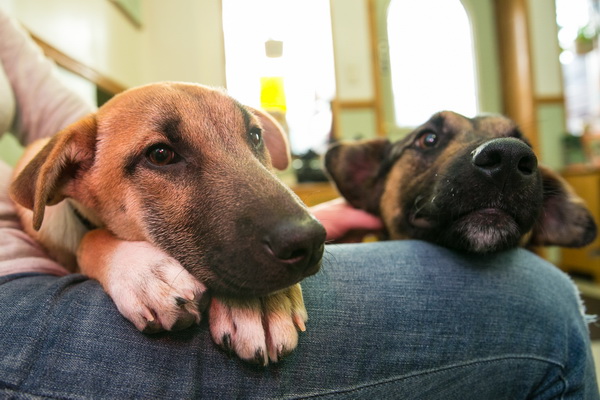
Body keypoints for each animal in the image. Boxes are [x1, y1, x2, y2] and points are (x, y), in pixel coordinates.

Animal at [9, 81, 326, 366]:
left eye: (255, 136)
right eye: (160, 155)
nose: (310, 241)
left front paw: (264, 302)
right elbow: (89, 239)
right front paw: (143, 270)